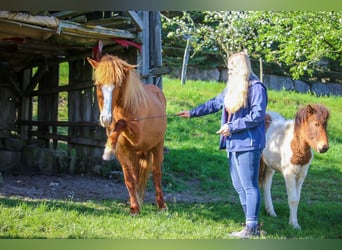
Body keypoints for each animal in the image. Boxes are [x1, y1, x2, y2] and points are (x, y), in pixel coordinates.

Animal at [87, 55, 167, 215]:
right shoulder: (123, 150)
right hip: (135, 152)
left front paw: (107, 150)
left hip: (157, 145)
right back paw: (137, 200)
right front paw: (134, 208)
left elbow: (121, 123)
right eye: (98, 85)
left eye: (117, 85)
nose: (106, 119)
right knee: (137, 172)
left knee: (156, 173)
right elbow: (129, 178)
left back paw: (161, 206)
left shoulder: (137, 137)